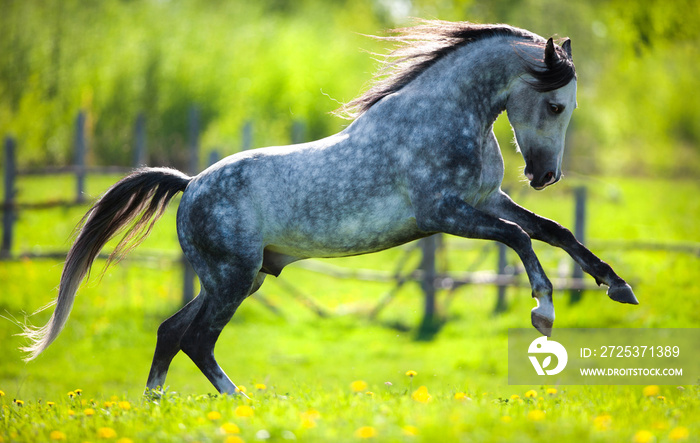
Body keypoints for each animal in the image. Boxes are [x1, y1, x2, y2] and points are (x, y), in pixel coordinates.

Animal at [21, 20, 636, 396]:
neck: (446, 118)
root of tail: (190, 183)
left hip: (239, 278)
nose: (545, 176)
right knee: (196, 339)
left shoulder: (487, 201)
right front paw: (543, 312)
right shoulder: (445, 215)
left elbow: (555, 232)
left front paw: (618, 287)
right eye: (555, 105)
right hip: (232, 279)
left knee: (171, 332)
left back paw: (159, 405)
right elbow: (521, 238)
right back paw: (239, 402)